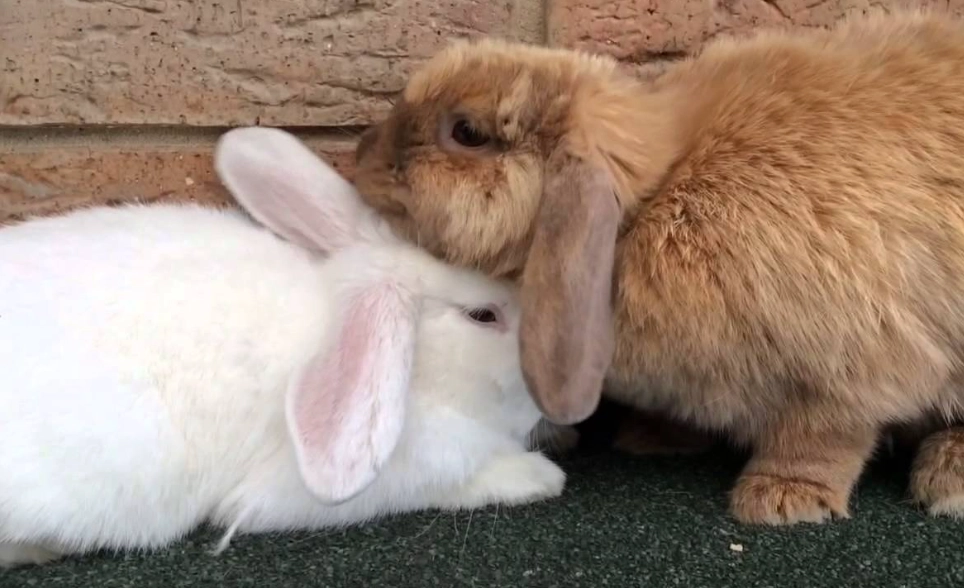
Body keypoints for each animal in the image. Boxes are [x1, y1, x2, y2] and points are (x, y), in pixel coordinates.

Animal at [352, 8, 964, 525]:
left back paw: (946, 479)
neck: (653, 202)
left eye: (468, 133)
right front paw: (655, 436)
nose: (359, 155)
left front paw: (782, 500)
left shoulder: (850, 364)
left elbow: (826, 434)